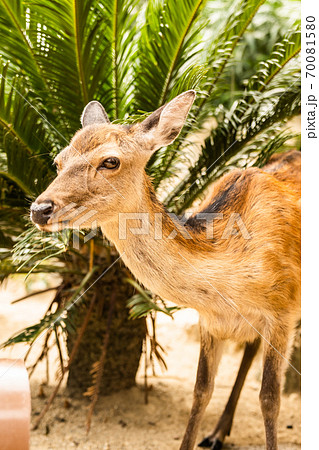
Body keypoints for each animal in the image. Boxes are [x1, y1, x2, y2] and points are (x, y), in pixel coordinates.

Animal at [28, 91, 302, 450]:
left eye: (110, 161)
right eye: (58, 161)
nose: (40, 209)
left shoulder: (283, 311)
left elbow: (269, 399)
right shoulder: (210, 321)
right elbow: (201, 392)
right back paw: (217, 433)